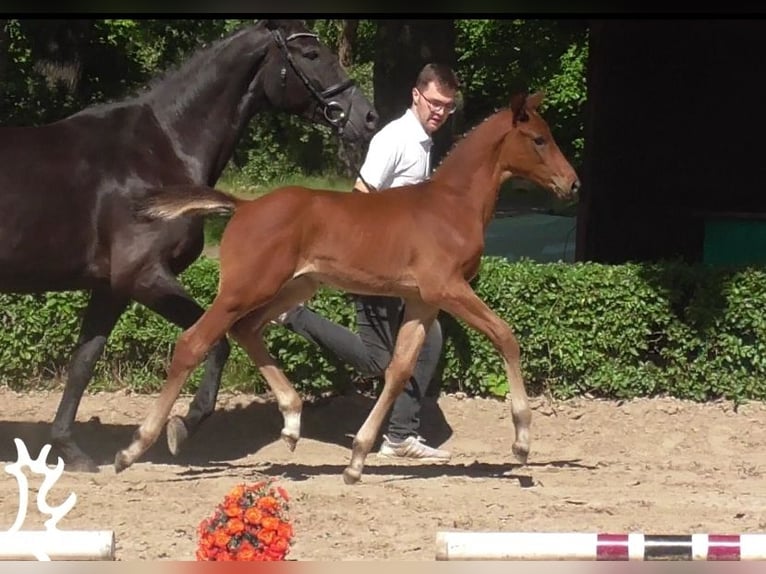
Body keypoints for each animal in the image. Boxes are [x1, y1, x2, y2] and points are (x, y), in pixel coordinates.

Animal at [117, 92, 580, 484]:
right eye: (539, 139)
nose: (572, 183)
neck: (451, 206)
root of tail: (245, 206)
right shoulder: (448, 288)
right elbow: (506, 336)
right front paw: (522, 441)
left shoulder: (422, 301)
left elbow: (399, 368)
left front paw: (357, 458)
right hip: (244, 289)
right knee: (193, 342)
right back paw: (135, 447)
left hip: (295, 287)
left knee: (246, 330)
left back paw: (292, 421)